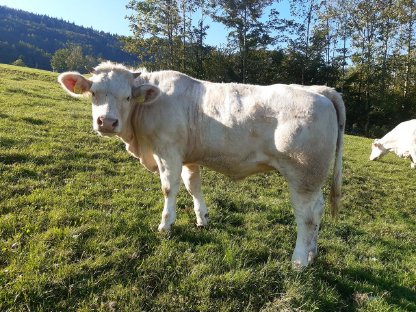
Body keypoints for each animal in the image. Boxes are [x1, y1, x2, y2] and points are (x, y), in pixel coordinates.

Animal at [57, 61, 344, 268]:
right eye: (93, 93)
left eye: (127, 97)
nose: (106, 122)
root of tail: (318, 89)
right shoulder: (188, 157)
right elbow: (193, 186)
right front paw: (202, 219)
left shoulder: (168, 152)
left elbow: (169, 188)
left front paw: (165, 225)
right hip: (313, 178)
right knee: (318, 211)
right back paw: (312, 253)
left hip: (303, 174)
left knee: (307, 217)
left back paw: (299, 261)